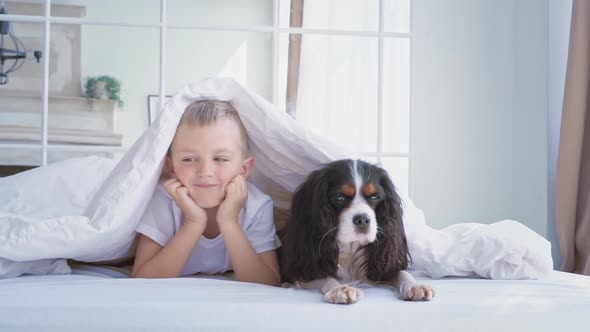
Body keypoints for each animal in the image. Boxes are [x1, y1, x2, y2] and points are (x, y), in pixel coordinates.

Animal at [280, 158, 438, 304]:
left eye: (375, 196)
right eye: (340, 197)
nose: (362, 219)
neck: (350, 247)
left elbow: (401, 272)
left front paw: (414, 286)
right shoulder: (301, 271)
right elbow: (325, 276)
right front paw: (340, 289)